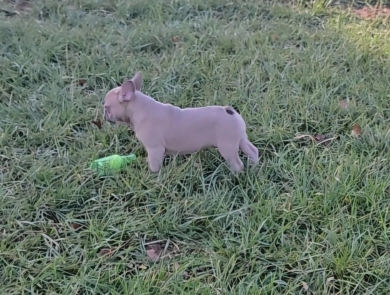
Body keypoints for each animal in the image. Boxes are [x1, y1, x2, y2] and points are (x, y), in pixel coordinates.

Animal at [103, 72, 258, 173]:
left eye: (106, 107)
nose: (104, 115)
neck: (138, 108)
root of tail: (229, 110)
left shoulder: (155, 149)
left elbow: (155, 165)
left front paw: (153, 176)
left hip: (227, 146)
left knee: (237, 163)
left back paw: (234, 175)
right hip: (241, 138)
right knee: (252, 150)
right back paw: (254, 166)